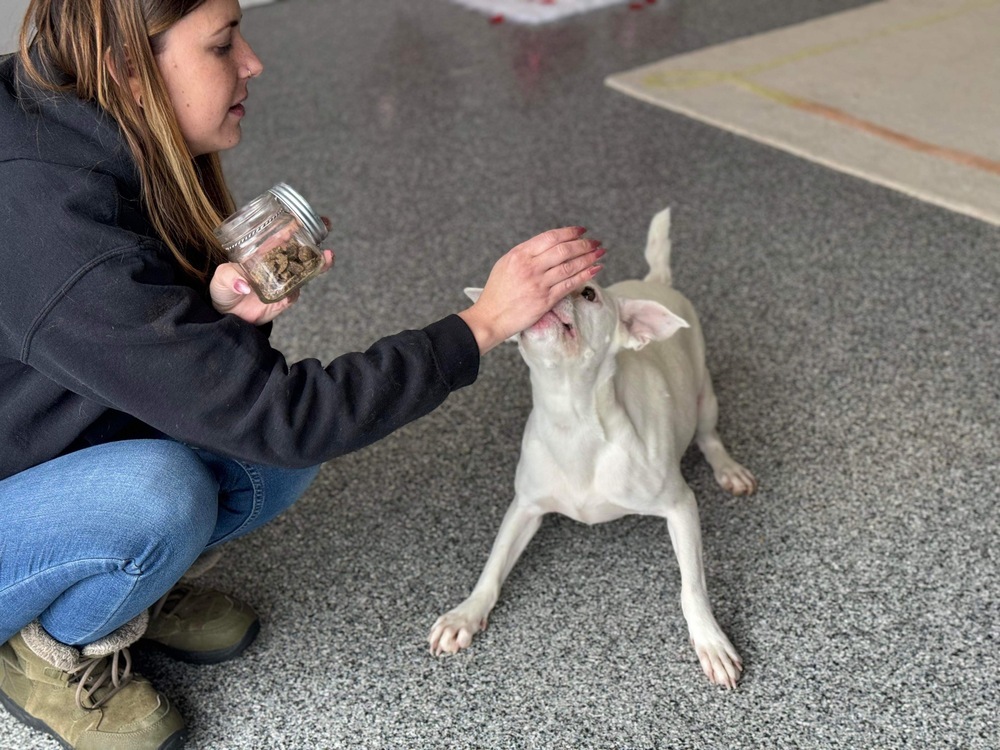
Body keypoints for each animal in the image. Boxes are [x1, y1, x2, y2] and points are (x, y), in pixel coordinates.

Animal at [430, 209, 756, 692]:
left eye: (588, 294)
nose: (559, 288)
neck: (574, 419)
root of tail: (653, 282)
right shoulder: (525, 507)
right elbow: (493, 565)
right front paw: (465, 615)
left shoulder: (680, 506)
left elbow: (692, 587)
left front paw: (710, 641)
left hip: (705, 398)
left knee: (710, 437)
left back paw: (728, 469)